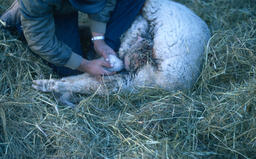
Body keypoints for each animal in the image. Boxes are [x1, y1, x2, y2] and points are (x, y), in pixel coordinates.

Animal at [32, 0, 211, 107]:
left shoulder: (136, 28)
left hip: (137, 75)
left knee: (95, 82)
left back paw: (47, 85)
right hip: (134, 80)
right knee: (96, 83)